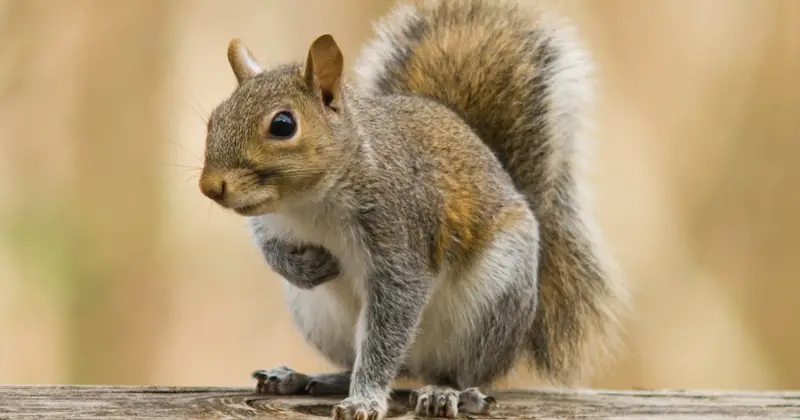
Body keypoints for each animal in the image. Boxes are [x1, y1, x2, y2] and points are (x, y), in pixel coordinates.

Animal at [198, 0, 629, 419]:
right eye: (214, 118)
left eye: (284, 125)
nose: (209, 187)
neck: (308, 204)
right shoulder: (269, 221)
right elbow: (271, 250)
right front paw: (307, 268)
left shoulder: (400, 235)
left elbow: (390, 322)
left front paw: (364, 401)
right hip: (320, 318)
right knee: (373, 364)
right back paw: (302, 377)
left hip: (492, 304)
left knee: (454, 371)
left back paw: (445, 393)